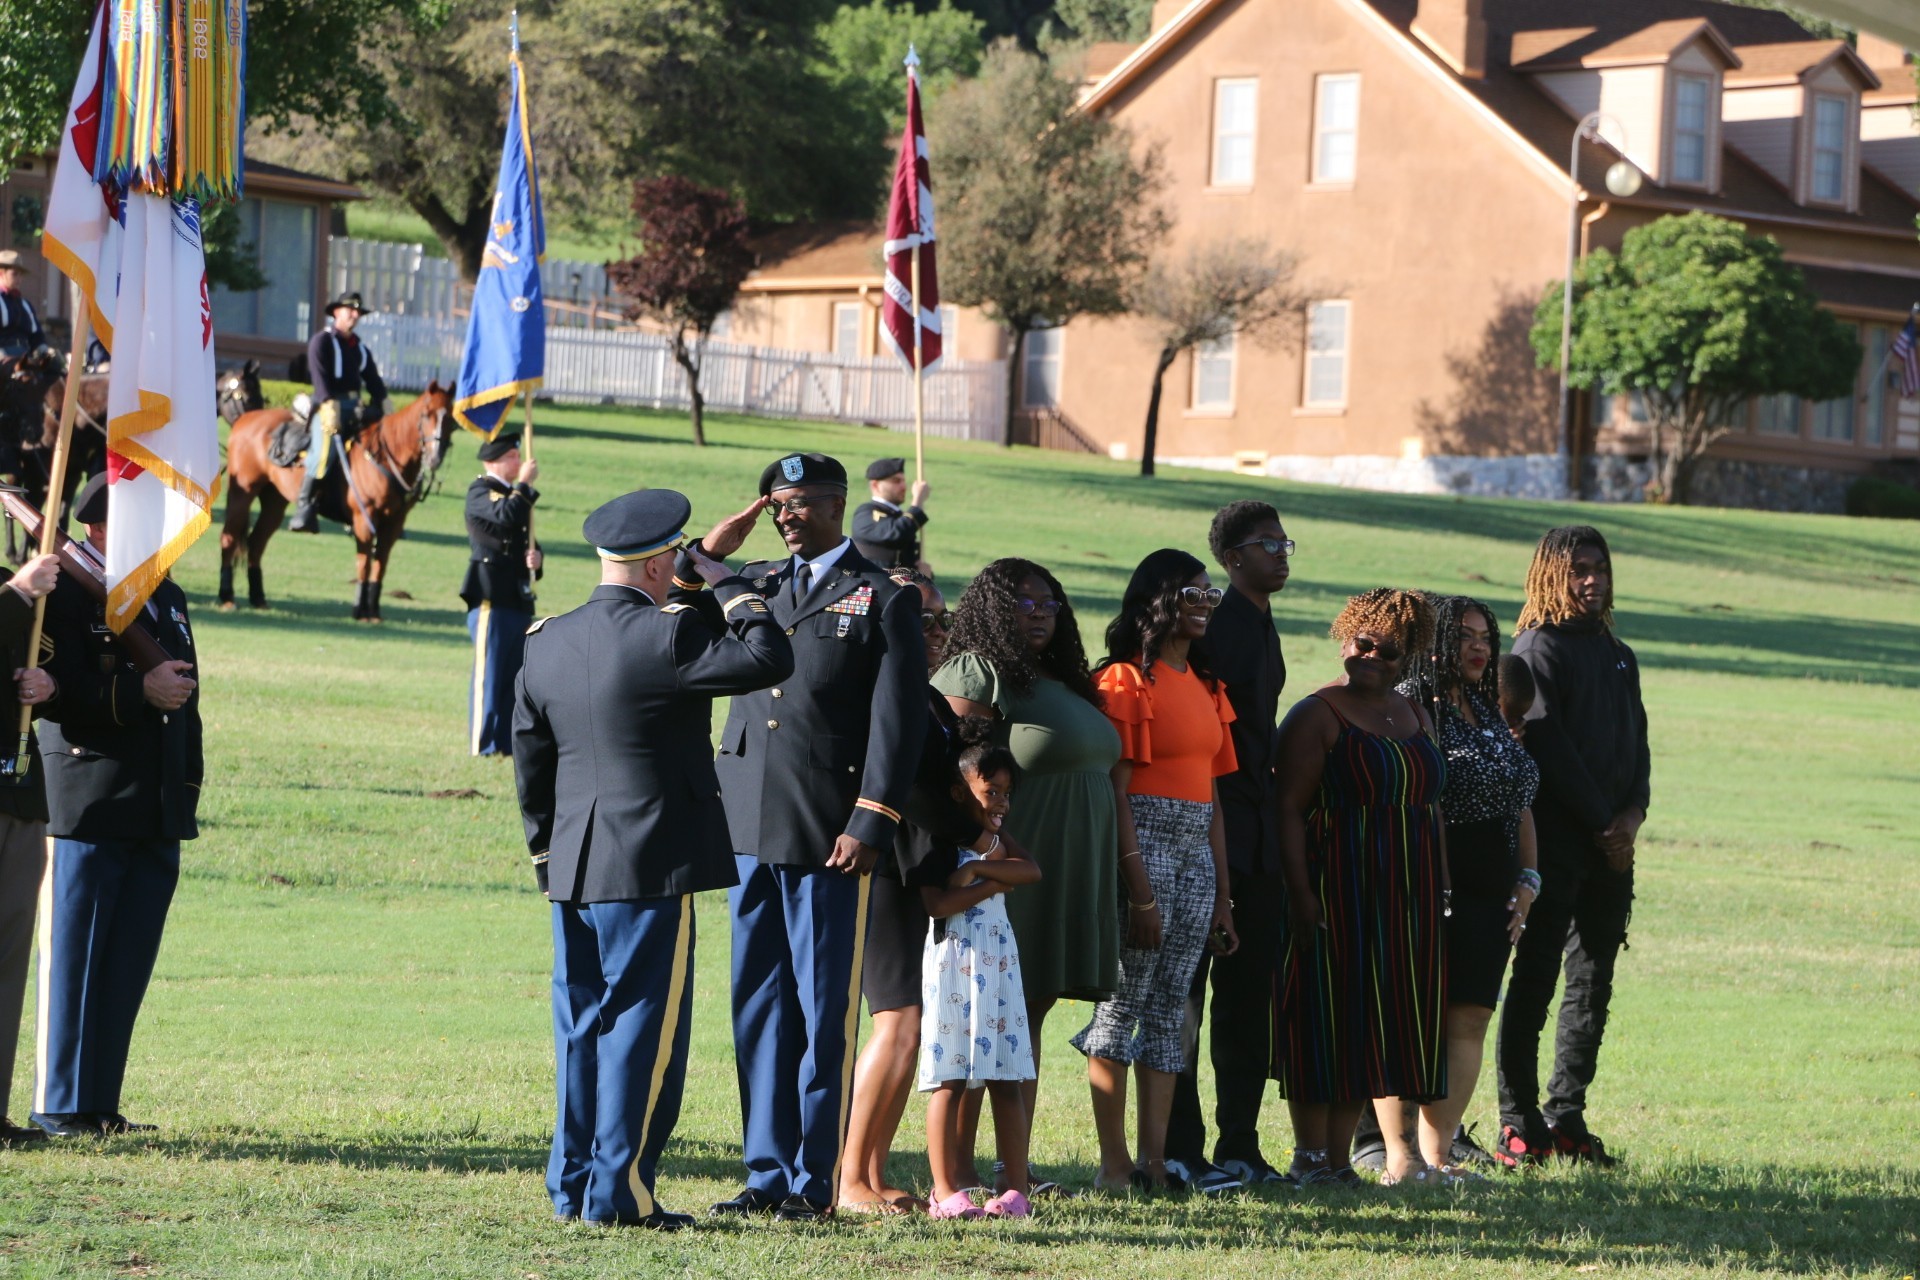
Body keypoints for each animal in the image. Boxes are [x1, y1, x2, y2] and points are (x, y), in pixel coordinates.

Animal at [220, 379, 453, 621]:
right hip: (242, 493)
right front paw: (360, 610)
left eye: (451, 419)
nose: (435, 457)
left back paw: (258, 599)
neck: (384, 457)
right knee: (228, 538)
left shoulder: (394, 523)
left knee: (256, 543)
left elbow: (380, 565)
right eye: (426, 414)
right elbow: (364, 564)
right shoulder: (364, 520)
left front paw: (373, 611)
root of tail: (245, 419)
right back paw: (227, 597)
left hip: (274, 502)